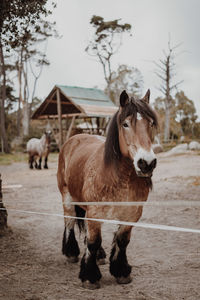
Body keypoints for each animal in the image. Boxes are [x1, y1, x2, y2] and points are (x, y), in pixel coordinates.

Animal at [57, 90, 158, 290]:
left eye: (150, 123)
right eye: (125, 124)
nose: (147, 163)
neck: (120, 178)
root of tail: (73, 139)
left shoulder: (132, 214)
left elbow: (122, 241)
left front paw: (121, 272)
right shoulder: (94, 213)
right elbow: (93, 242)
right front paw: (89, 277)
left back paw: (100, 256)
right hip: (67, 197)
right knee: (69, 221)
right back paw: (71, 253)